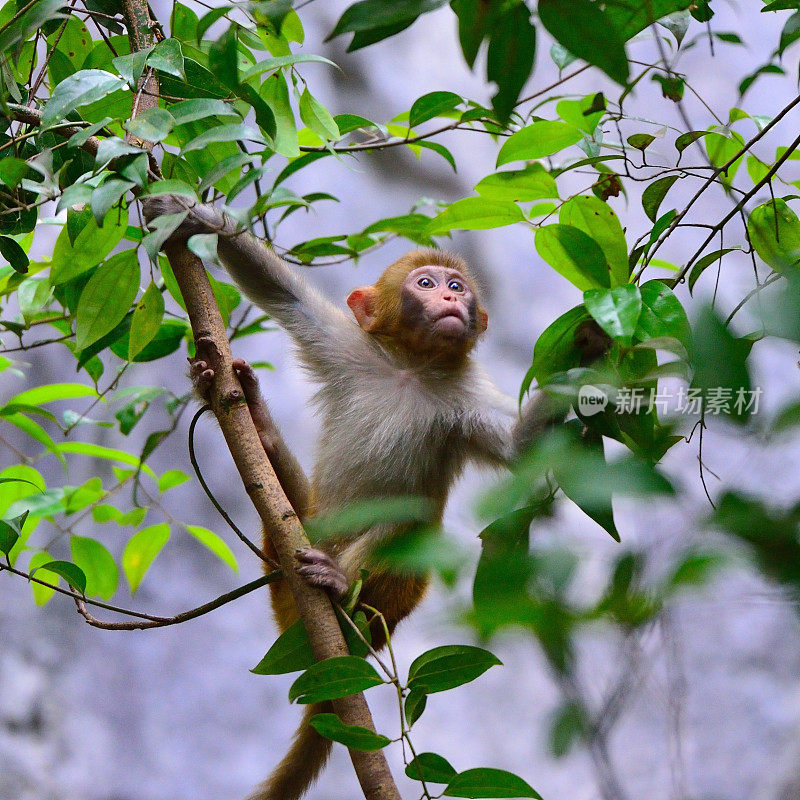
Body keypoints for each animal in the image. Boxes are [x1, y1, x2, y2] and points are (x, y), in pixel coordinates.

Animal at [144, 194, 592, 800]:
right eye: (427, 283)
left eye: (457, 286)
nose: (452, 298)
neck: (411, 367)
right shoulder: (352, 350)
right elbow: (286, 298)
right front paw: (190, 215)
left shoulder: (465, 398)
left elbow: (520, 447)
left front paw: (594, 345)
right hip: (286, 569)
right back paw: (255, 425)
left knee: (411, 530)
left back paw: (337, 587)